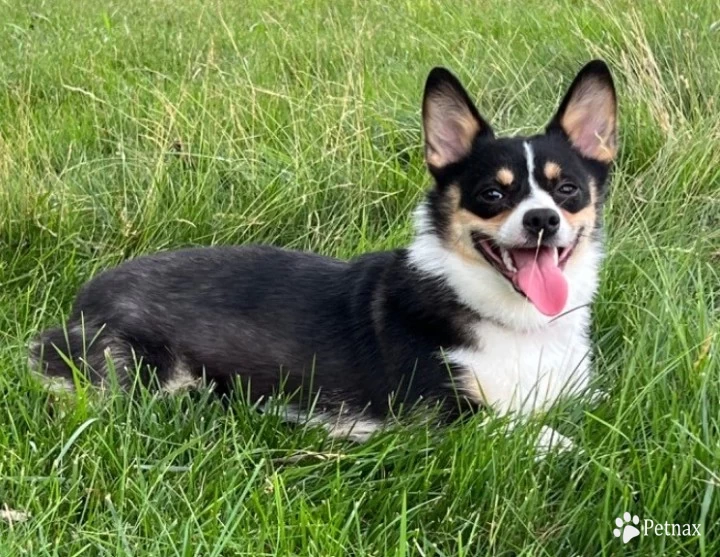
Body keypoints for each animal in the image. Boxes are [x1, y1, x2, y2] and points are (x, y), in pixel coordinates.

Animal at [26, 60, 612, 450]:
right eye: (492, 194)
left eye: (568, 190)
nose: (542, 220)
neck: (513, 321)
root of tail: (86, 295)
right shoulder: (441, 417)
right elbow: (543, 435)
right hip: (146, 376)